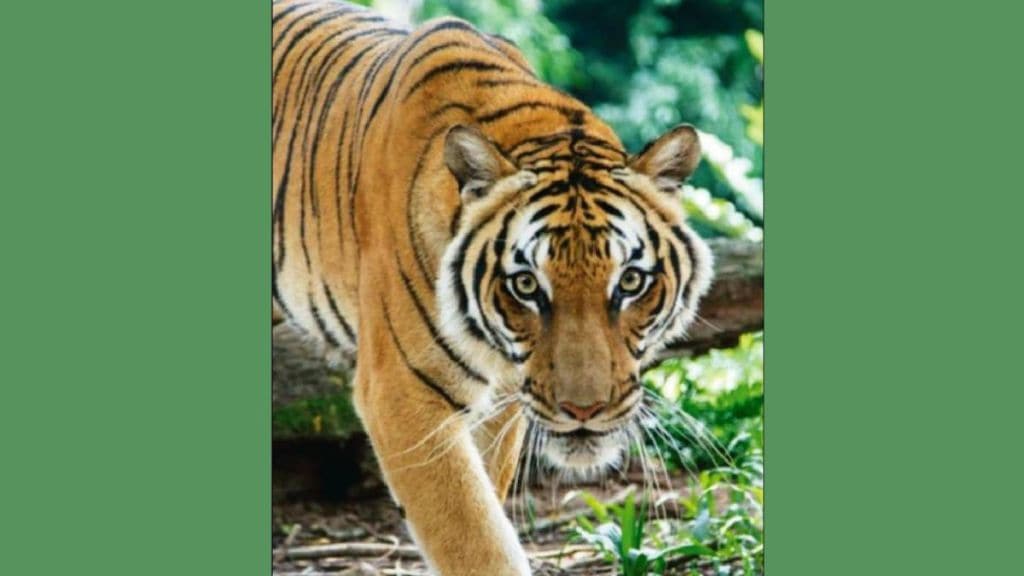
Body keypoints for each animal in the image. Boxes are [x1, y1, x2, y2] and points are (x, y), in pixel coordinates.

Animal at [272, 0, 714, 573]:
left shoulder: (505, 397)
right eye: (526, 285)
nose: (585, 412)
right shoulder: (401, 393)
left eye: (631, 281)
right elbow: (473, 536)